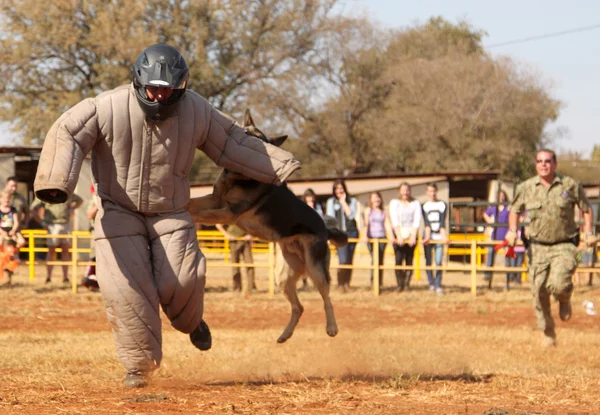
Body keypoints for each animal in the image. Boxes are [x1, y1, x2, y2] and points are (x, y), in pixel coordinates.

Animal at [188, 110, 346, 344]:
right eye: (245, 132)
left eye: (259, 140)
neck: (238, 177)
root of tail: (325, 229)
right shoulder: (215, 199)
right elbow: (192, 203)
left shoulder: (230, 212)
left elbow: (202, 213)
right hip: (283, 277)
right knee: (299, 307)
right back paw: (285, 335)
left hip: (315, 270)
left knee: (327, 298)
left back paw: (332, 327)